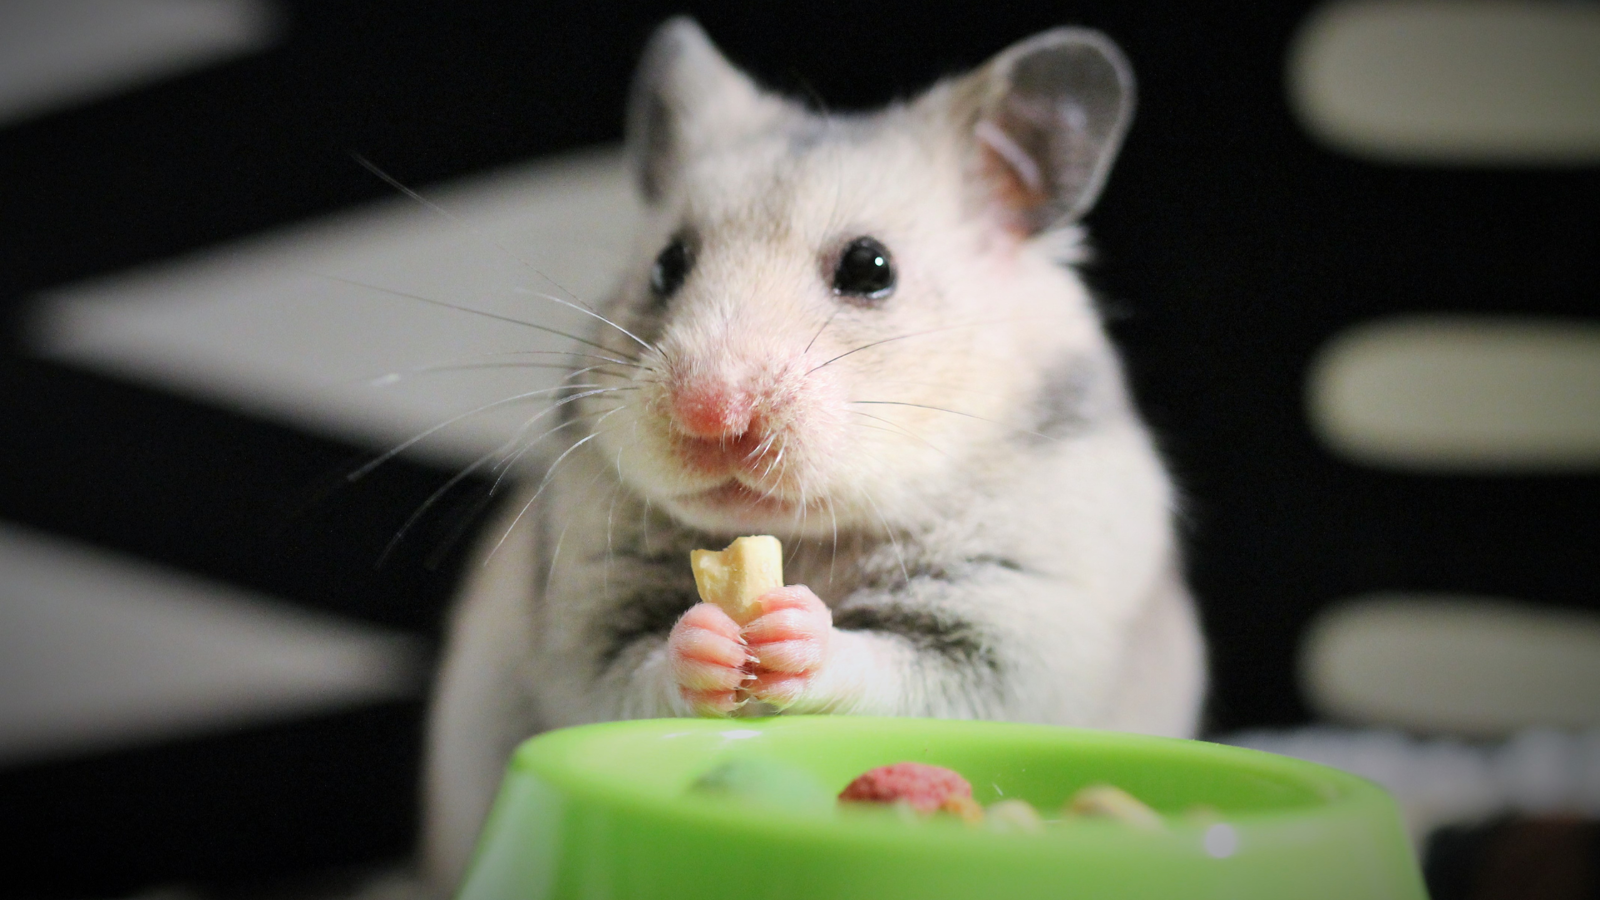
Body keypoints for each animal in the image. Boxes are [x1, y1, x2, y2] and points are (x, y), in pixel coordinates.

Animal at [419, 15, 1203, 890]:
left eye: (870, 266)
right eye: (667, 264)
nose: (709, 410)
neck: (805, 536)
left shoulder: (1012, 618)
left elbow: (892, 663)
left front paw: (796, 629)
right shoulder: (585, 617)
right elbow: (638, 666)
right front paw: (711, 638)